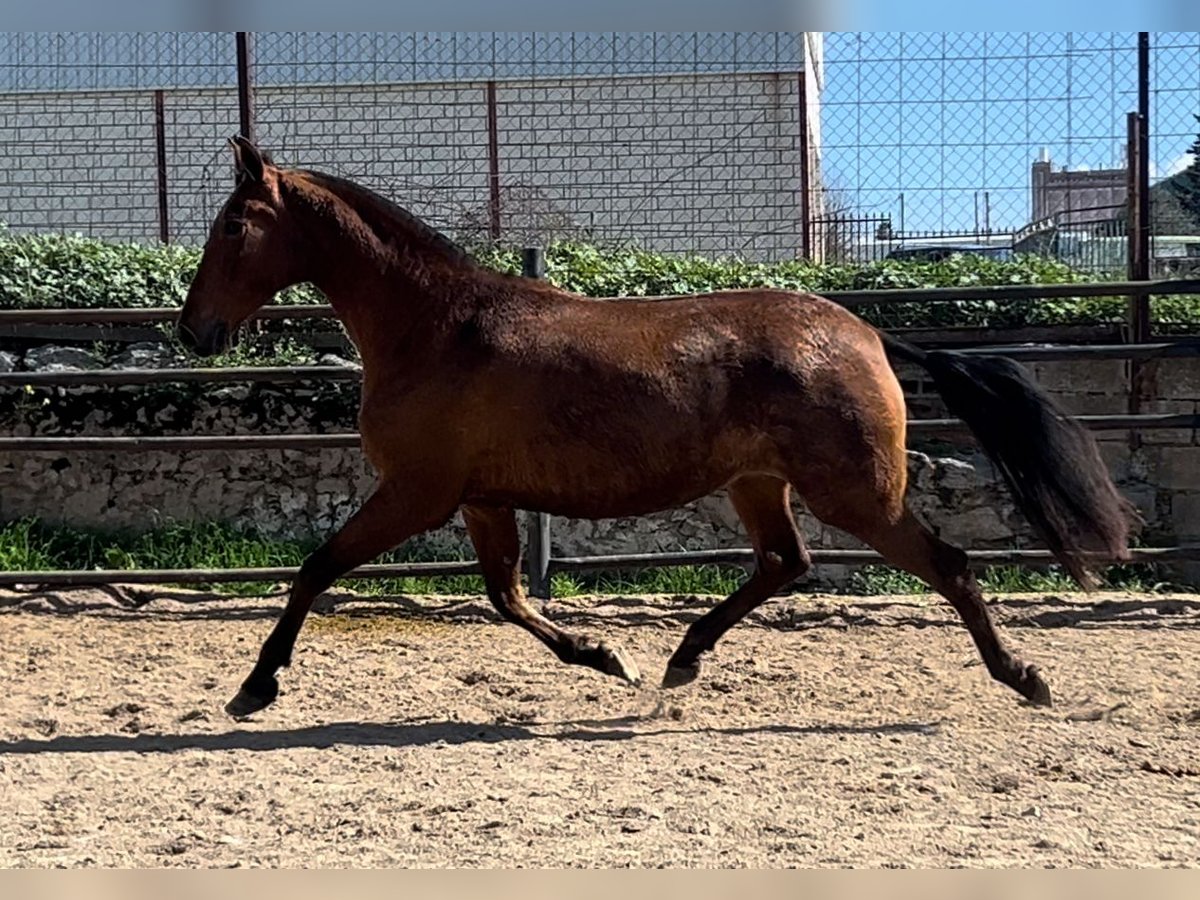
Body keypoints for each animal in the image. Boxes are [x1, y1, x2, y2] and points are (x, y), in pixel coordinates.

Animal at [177, 141, 1132, 720]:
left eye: (232, 223)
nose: (194, 332)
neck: (437, 327)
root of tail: (865, 333)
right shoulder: (479, 499)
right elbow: (507, 597)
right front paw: (607, 657)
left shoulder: (415, 492)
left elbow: (316, 569)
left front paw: (255, 687)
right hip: (761, 484)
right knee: (785, 563)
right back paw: (680, 660)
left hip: (856, 492)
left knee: (948, 565)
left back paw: (1026, 677)